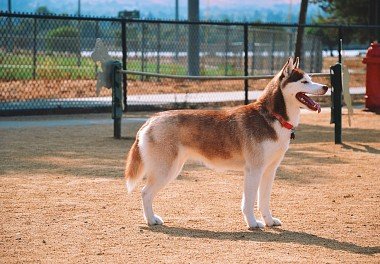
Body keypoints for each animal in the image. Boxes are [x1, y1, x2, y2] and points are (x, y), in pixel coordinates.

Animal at [124, 57, 330, 229]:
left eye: (311, 79)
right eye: (304, 82)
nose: (326, 87)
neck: (272, 116)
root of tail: (151, 119)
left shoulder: (270, 170)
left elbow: (263, 200)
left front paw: (269, 221)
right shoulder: (254, 170)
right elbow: (249, 202)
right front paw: (253, 223)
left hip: (173, 168)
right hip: (165, 170)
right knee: (145, 192)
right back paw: (151, 220)